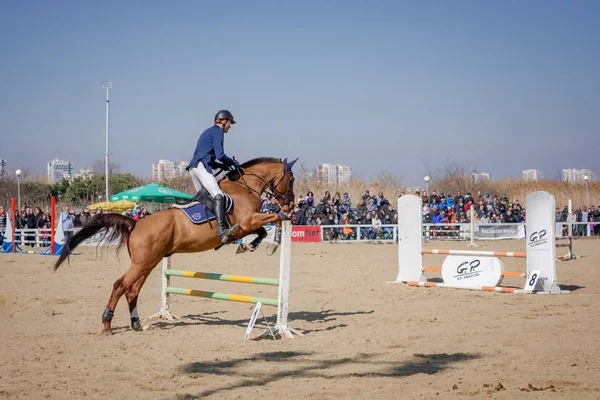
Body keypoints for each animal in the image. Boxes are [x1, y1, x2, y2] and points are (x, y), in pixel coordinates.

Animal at [54, 156, 298, 334]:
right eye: (292, 179)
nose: (291, 205)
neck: (245, 187)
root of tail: (136, 222)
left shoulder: (247, 226)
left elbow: (263, 230)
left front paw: (248, 246)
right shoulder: (247, 222)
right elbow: (274, 220)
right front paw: (274, 242)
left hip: (148, 263)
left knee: (132, 290)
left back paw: (136, 324)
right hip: (143, 263)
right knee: (119, 286)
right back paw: (107, 324)